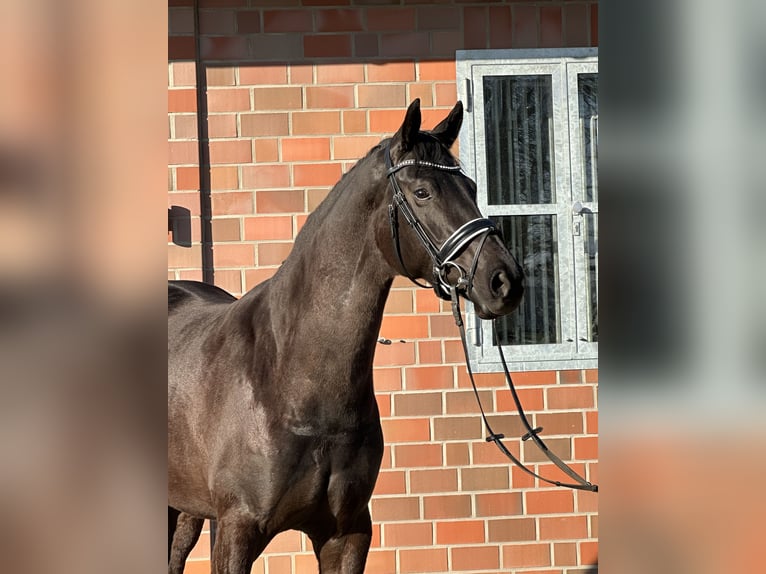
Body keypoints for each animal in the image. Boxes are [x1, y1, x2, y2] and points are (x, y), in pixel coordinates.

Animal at [168, 101, 528, 572]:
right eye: (422, 192)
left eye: (470, 186)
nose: (505, 281)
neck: (293, 379)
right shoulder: (236, 530)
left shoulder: (346, 532)